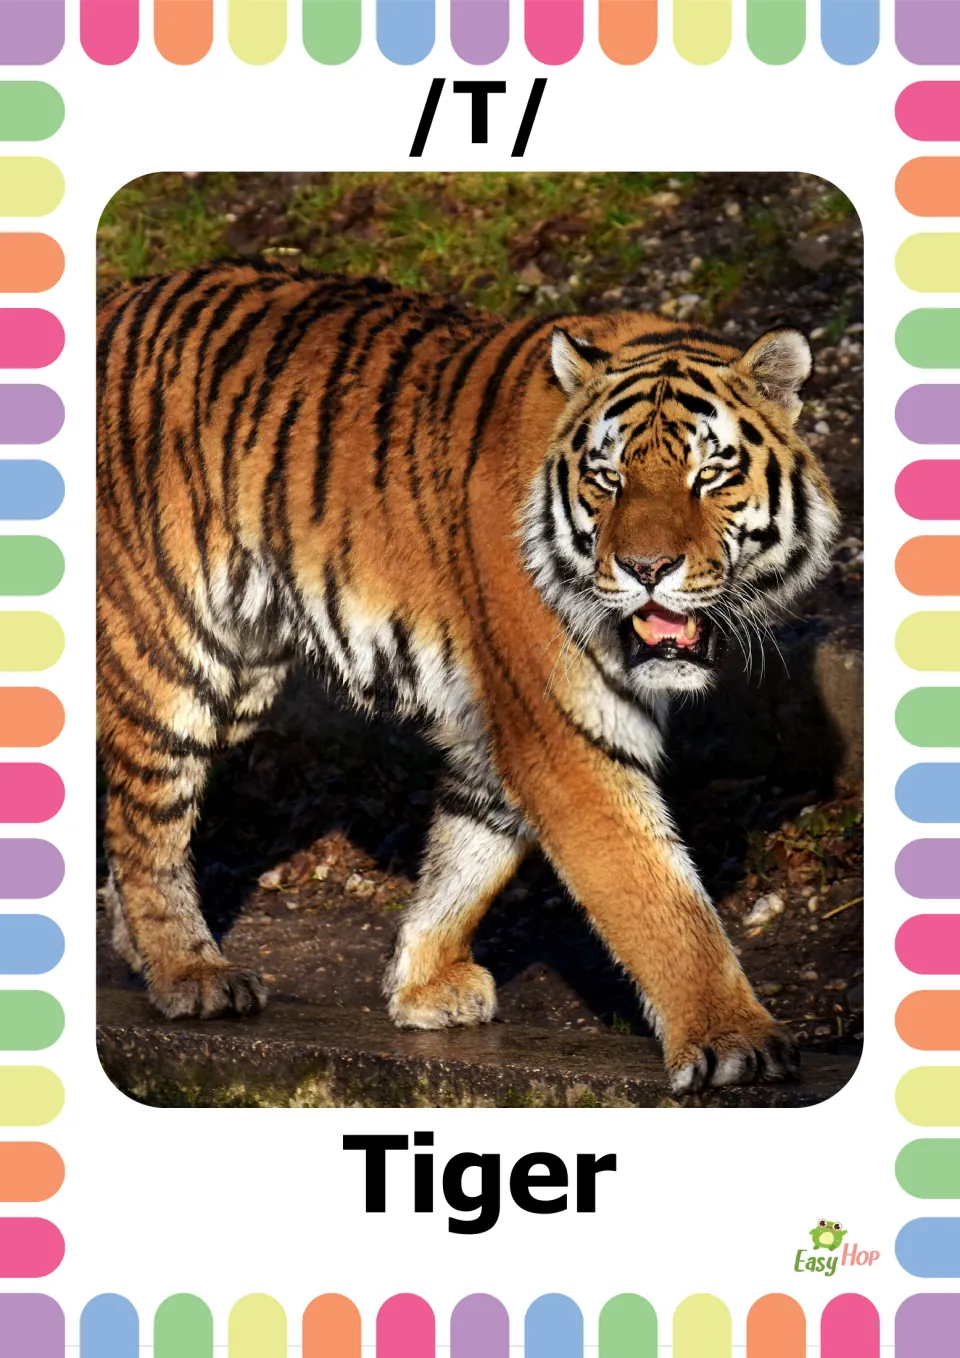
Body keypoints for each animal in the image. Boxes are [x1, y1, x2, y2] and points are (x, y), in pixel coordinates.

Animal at [96, 259, 839, 1095]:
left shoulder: (501, 725)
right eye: (608, 478)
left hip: (244, 668)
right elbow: (657, 894)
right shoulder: (560, 730)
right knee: (144, 821)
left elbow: (469, 853)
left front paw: (422, 983)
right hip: (173, 655)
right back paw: (188, 974)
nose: (646, 569)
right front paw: (734, 1042)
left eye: (710, 474)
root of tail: (114, 302)